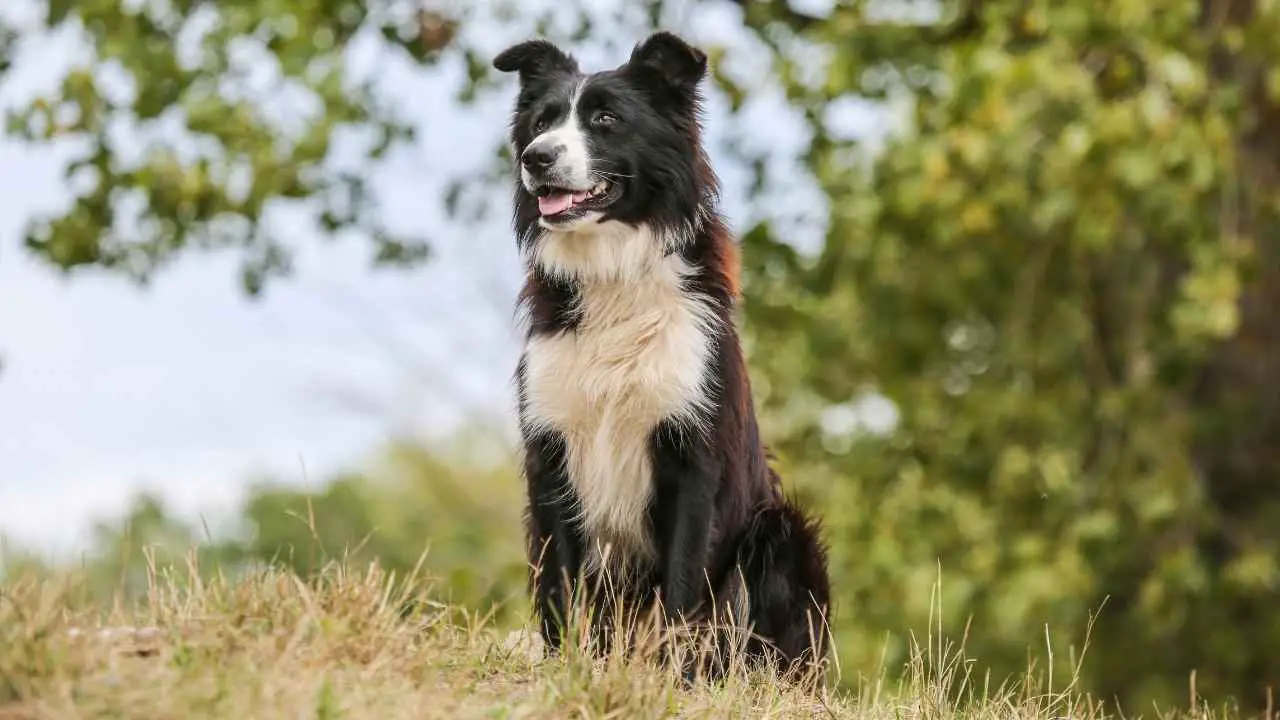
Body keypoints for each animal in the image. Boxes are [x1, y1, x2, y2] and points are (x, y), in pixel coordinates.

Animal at [488, 29, 829, 676]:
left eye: (605, 119)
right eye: (542, 122)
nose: (535, 158)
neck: (612, 270)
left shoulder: (691, 457)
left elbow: (682, 584)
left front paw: (671, 676)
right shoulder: (552, 450)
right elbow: (560, 584)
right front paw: (566, 665)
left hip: (781, 532)